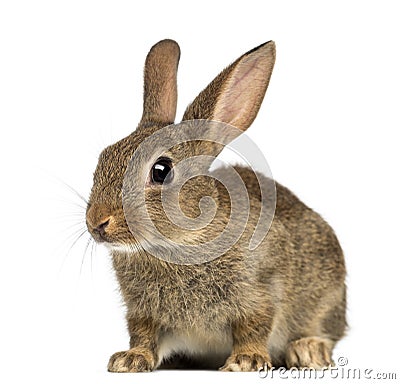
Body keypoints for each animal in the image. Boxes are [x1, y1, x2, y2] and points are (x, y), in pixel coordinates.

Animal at [85, 39, 346, 372]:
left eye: (161, 171)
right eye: (103, 157)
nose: (96, 222)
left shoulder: (260, 291)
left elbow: (255, 325)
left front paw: (246, 360)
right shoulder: (143, 313)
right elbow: (143, 334)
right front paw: (130, 359)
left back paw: (308, 350)